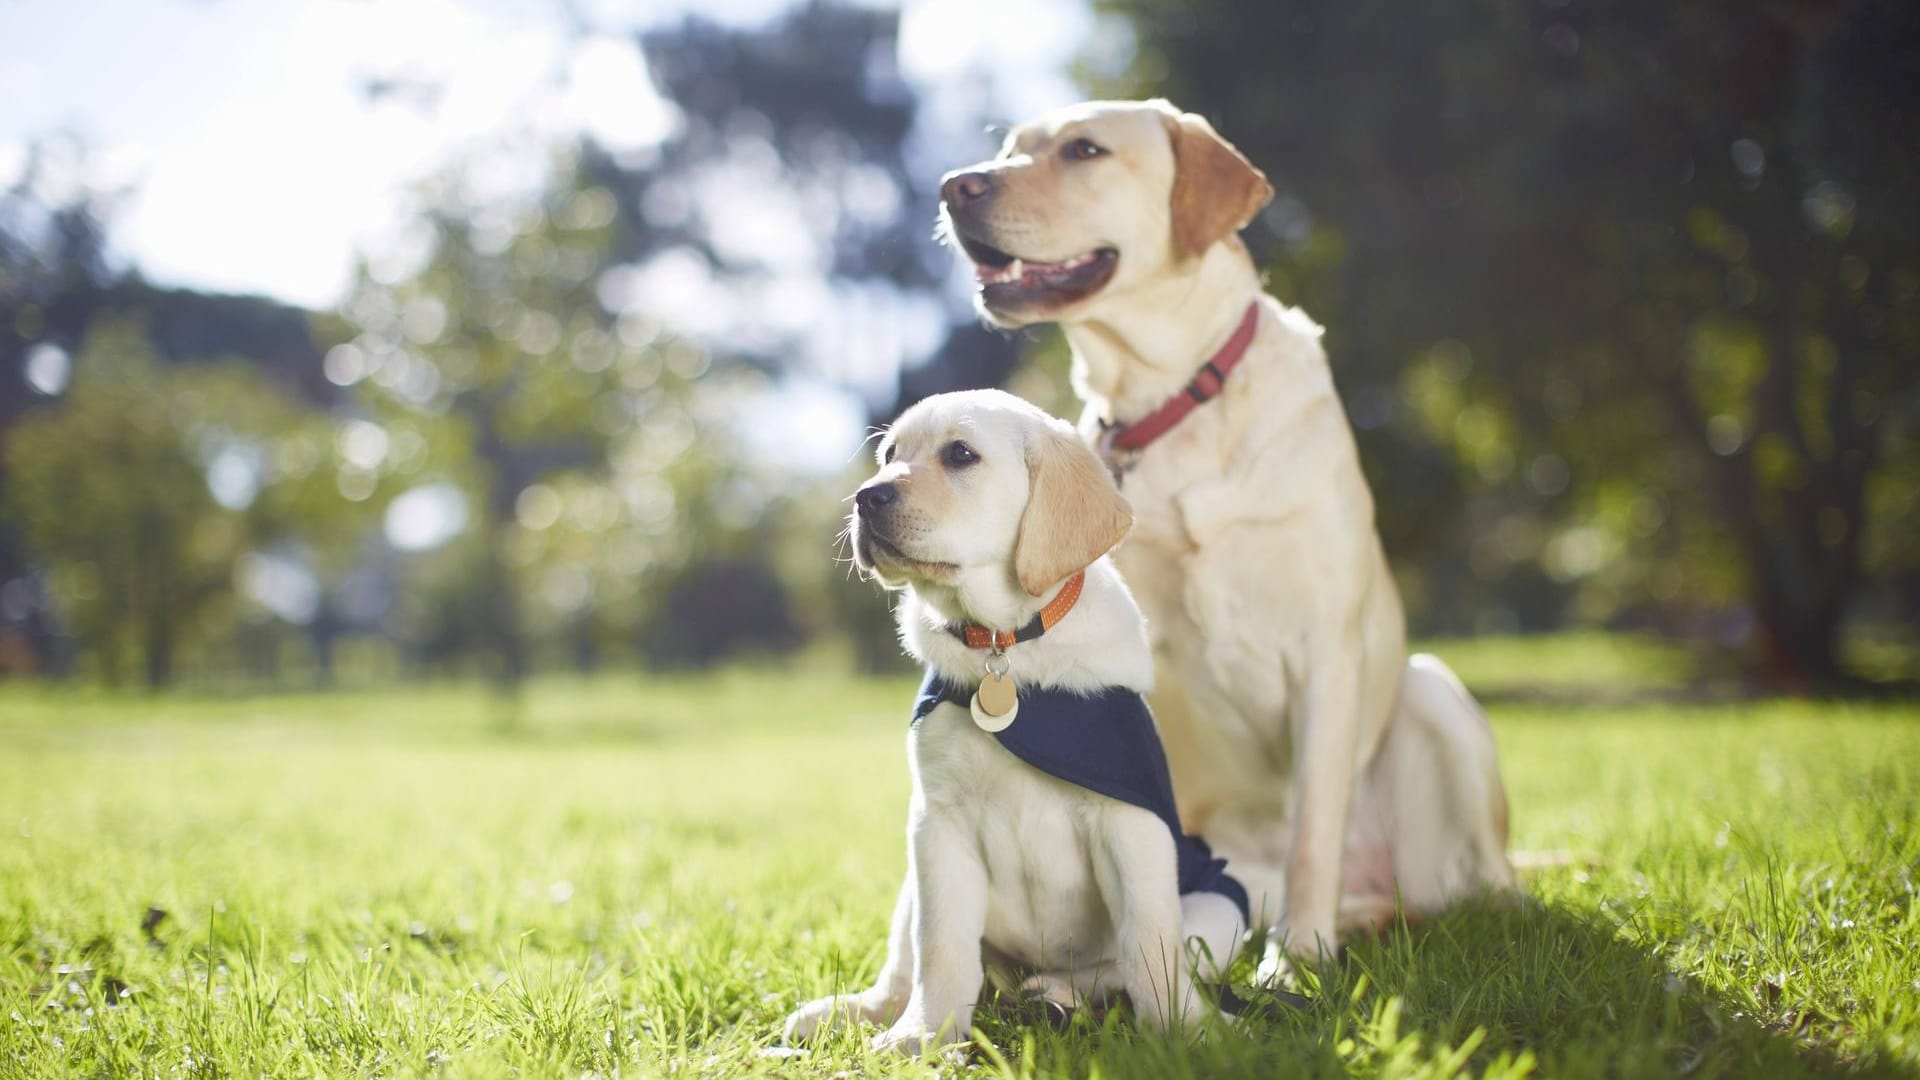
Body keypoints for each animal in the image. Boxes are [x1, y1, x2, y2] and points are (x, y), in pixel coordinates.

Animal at [779, 388, 1244, 1053]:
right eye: (890, 455)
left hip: (1219, 909)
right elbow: (942, 948)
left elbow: (1148, 942)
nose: (866, 498)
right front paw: (922, 1037)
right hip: (911, 883)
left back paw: (1058, 992)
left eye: (960, 455)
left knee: (1115, 969)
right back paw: (853, 1012)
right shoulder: (938, 824)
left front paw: (1188, 1030)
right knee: (906, 968)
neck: (1004, 645)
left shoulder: (1129, 824)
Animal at [940, 102, 1512, 976]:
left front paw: (1298, 956)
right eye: (1011, 149)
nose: (954, 186)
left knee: (1482, 888)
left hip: (1430, 694)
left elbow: (1314, 827)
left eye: (1084, 150)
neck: (1174, 402)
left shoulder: (1327, 649)